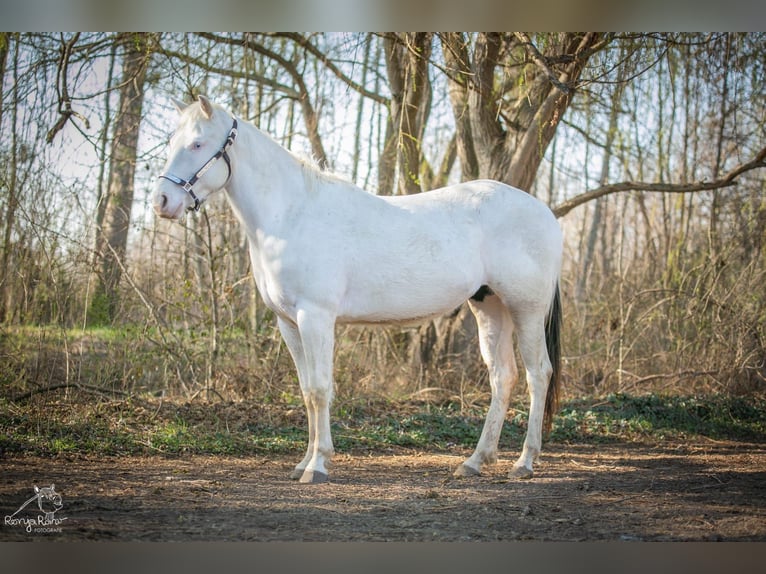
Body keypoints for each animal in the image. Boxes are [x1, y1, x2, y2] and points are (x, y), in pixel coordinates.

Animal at [153, 95, 563, 484]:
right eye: (173, 140)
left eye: (197, 143)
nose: (162, 202)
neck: (291, 215)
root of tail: (546, 214)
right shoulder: (289, 323)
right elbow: (306, 391)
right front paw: (304, 461)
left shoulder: (315, 317)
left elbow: (321, 389)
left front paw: (317, 466)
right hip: (489, 306)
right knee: (503, 377)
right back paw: (475, 461)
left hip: (526, 310)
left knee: (538, 374)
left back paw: (524, 463)